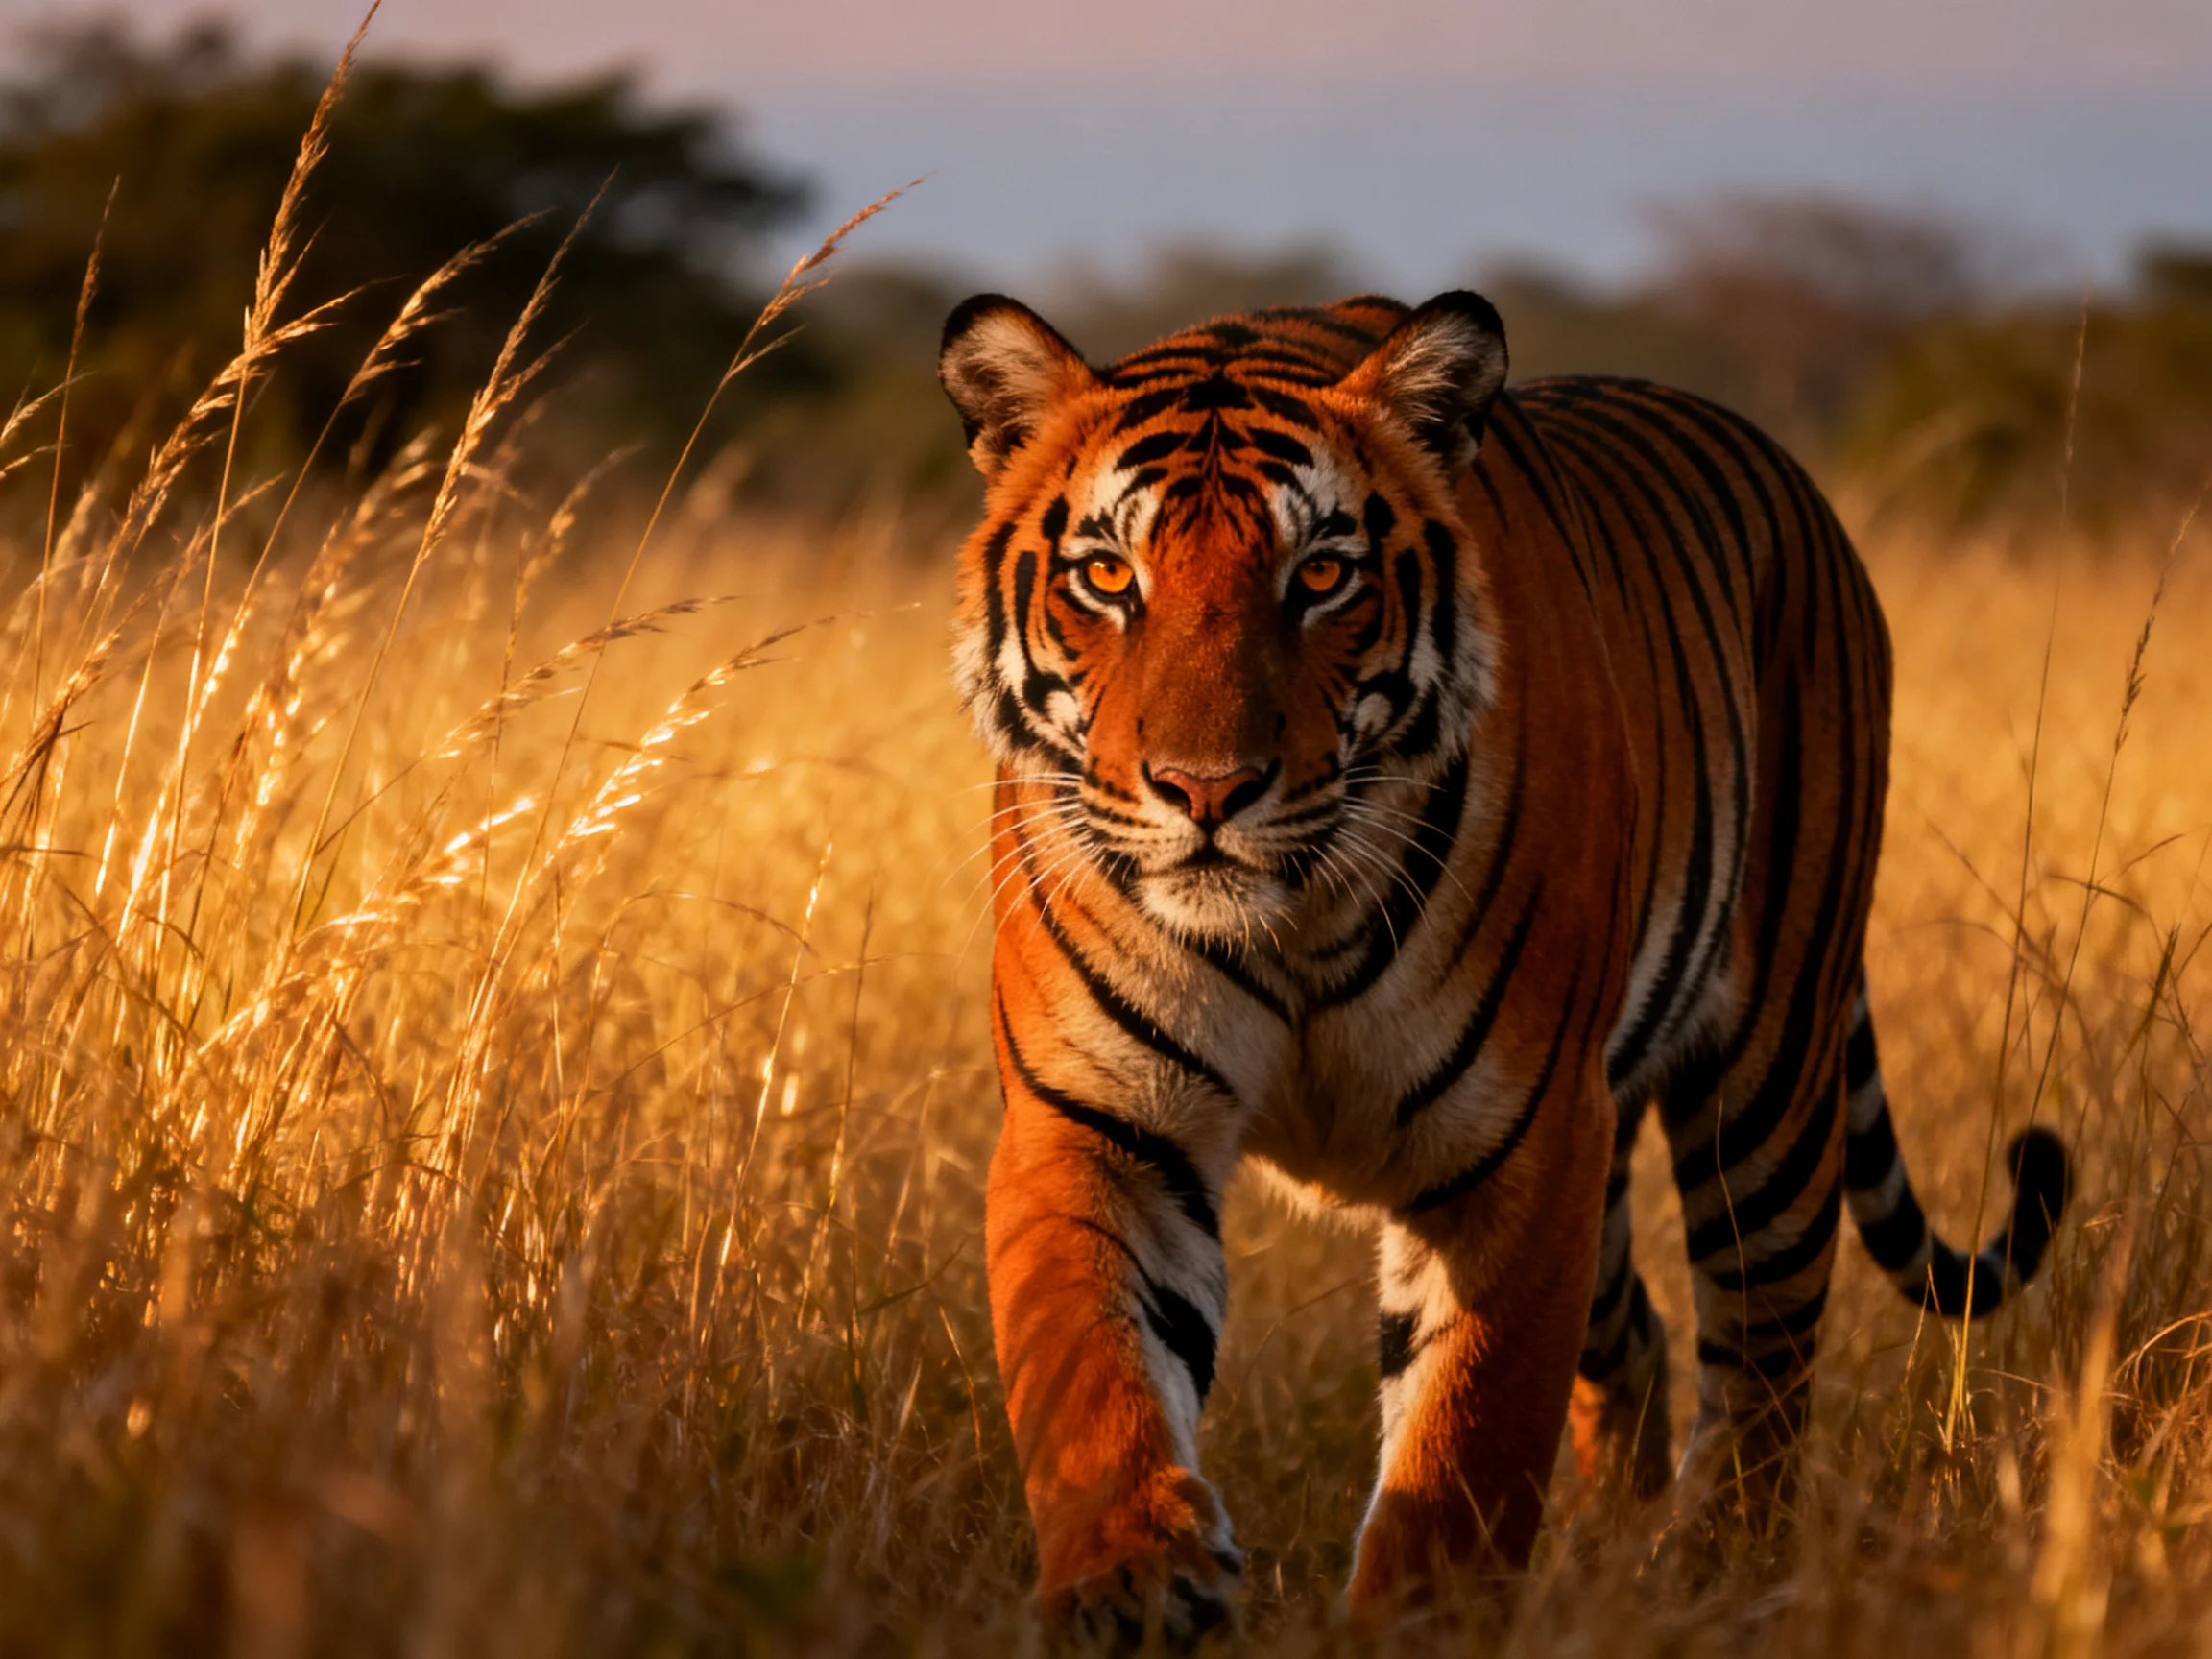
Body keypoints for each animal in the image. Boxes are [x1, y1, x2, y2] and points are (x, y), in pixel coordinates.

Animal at [936, 288, 2069, 1635]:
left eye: (1322, 576)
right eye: (1109, 575)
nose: (1207, 791)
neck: (1291, 919)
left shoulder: (1520, 1144)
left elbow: (1465, 1440)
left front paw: (1418, 1622)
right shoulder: (1097, 1118)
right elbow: (1091, 1374)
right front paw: (1133, 1580)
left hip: (1770, 1080)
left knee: (1761, 1368)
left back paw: (1710, 1585)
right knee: (1635, 1340)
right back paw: (1614, 1556)